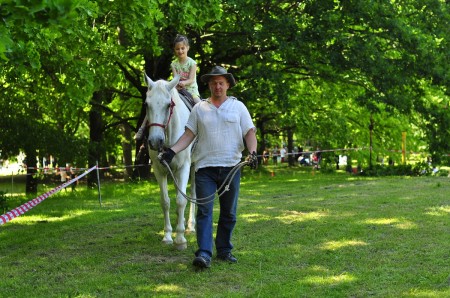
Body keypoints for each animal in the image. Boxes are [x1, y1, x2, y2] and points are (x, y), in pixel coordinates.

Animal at [143, 73, 194, 250]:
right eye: (147, 104)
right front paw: (167, 236)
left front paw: (180, 239)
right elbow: (165, 202)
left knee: (192, 194)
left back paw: (190, 226)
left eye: (168, 105)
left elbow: (181, 200)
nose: (155, 141)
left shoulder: (184, 168)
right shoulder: (159, 170)